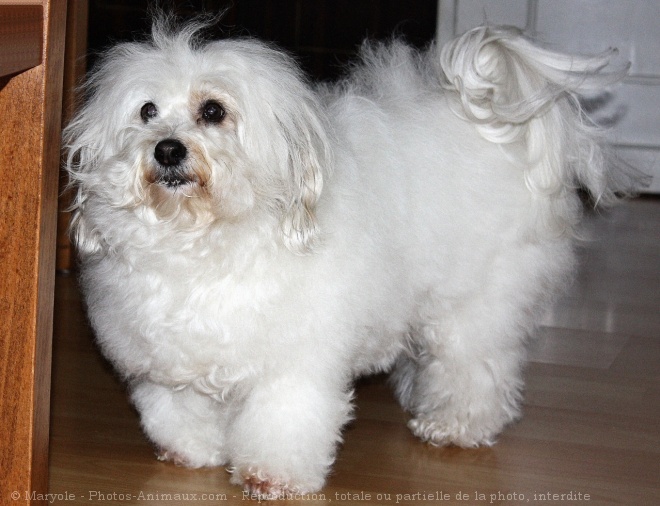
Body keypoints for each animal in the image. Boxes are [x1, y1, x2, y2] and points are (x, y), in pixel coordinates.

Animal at [64, 16, 636, 498]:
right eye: (146, 111)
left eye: (213, 111)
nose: (166, 149)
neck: (200, 241)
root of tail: (495, 119)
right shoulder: (173, 359)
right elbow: (180, 410)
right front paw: (192, 452)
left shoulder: (293, 364)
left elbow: (283, 422)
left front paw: (271, 477)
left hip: (475, 303)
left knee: (474, 368)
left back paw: (453, 425)